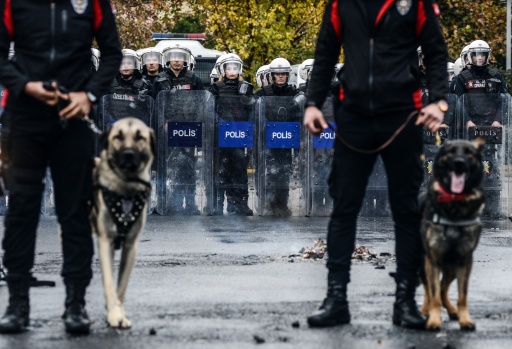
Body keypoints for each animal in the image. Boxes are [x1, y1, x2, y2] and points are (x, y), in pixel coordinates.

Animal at [90, 117, 155, 326]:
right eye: (117, 137)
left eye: (140, 137)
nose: (128, 154)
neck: (125, 185)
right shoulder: (105, 241)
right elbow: (110, 283)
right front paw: (113, 314)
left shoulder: (130, 246)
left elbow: (121, 286)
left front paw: (120, 313)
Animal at [420, 137, 484, 328]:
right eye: (451, 152)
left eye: (469, 153)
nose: (459, 163)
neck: (454, 201)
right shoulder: (432, 260)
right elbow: (433, 293)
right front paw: (434, 319)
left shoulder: (464, 260)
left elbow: (462, 295)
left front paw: (465, 319)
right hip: (424, 263)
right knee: (430, 289)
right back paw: (425, 311)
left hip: (452, 267)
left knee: (442, 289)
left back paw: (452, 311)